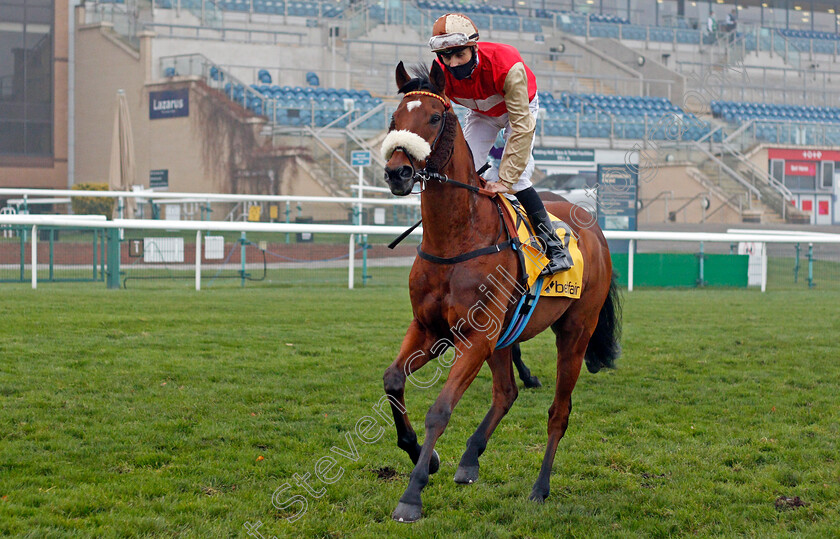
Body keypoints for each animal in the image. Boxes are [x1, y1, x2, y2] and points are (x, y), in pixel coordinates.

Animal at [380, 62, 624, 524]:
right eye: (394, 119)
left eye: (434, 118)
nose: (397, 173)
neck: (456, 238)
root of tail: (596, 232)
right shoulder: (429, 329)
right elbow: (393, 379)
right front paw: (425, 456)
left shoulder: (476, 337)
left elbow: (440, 409)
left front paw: (412, 494)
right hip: (507, 335)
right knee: (506, 392)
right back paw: (469, 460)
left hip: (575, 333)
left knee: (558, 413)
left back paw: (540, 488)